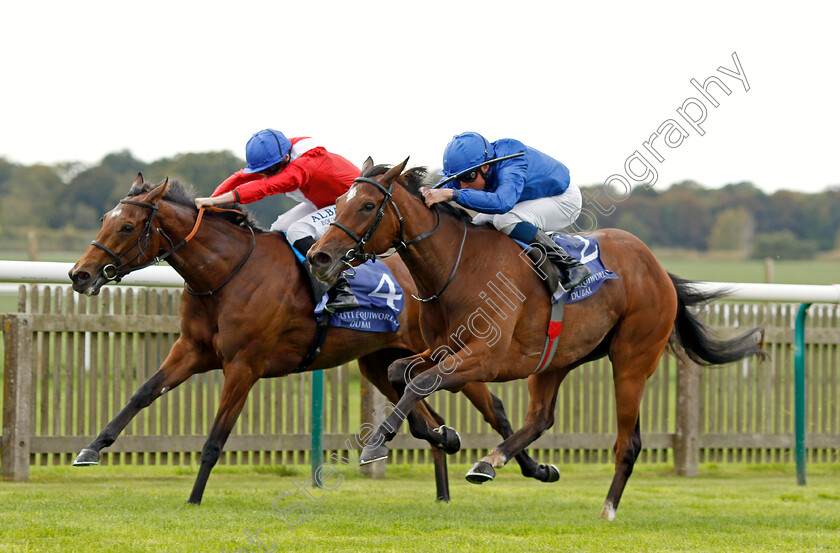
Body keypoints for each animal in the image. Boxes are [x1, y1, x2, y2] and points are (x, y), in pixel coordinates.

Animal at [69, 172, 556, 504]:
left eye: (127, 227)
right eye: (105, 218)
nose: (80, 274)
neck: (226, 273)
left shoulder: (244, 366)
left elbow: (214, 439)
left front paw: (194, 497)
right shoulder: (191, 350)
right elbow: (142, 393)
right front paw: (91, 448)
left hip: (455, 350)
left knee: (494, 408)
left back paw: (530, 468)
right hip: (378, 360)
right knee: (426, 413)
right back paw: (444, 460)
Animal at [308, 158, 768, 516]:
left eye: (368, 205)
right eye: (340, 203)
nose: (319, 256)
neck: (458, 266)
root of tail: (656, 266)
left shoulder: (486, 357)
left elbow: (421, 382)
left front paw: (377, 445)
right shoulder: (445, 347)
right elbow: (401, 372)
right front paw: (443, 435)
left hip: (633, 360)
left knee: (628, 442)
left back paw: (607, 509)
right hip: (556, 360)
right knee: (542, 418)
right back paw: (494, 463)